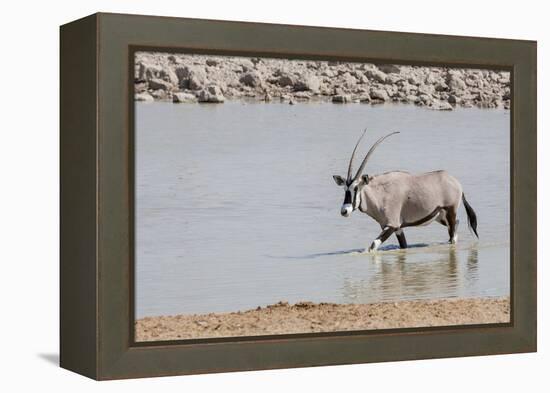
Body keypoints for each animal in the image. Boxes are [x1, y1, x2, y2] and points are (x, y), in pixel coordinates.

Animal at [332, 129, 478, 251]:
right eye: (345, 189)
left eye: (356, 188)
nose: (344, 211)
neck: (380, 194)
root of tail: (456, 183)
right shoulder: (397, 228)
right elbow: (403, 246)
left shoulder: (391, 225)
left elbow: (373, 245)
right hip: (440, 216)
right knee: (455, 228)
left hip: (450, 211)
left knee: (453, 235)